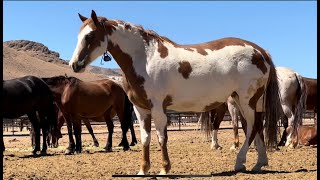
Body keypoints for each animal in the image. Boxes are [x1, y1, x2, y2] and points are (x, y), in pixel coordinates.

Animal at [69, 10, 298, 174]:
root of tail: (260, 51)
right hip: (247, 102)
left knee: (251, 127)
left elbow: (161, 138)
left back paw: (240, 162)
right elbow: (145, 139)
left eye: (90, 36)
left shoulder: (158, 109)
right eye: (78, 36)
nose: (74, 65)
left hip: (246, 100)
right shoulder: (141, 110)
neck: (145, 59)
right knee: (256, 127)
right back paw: (259, 163)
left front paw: (164, 169)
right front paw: (143, 170)